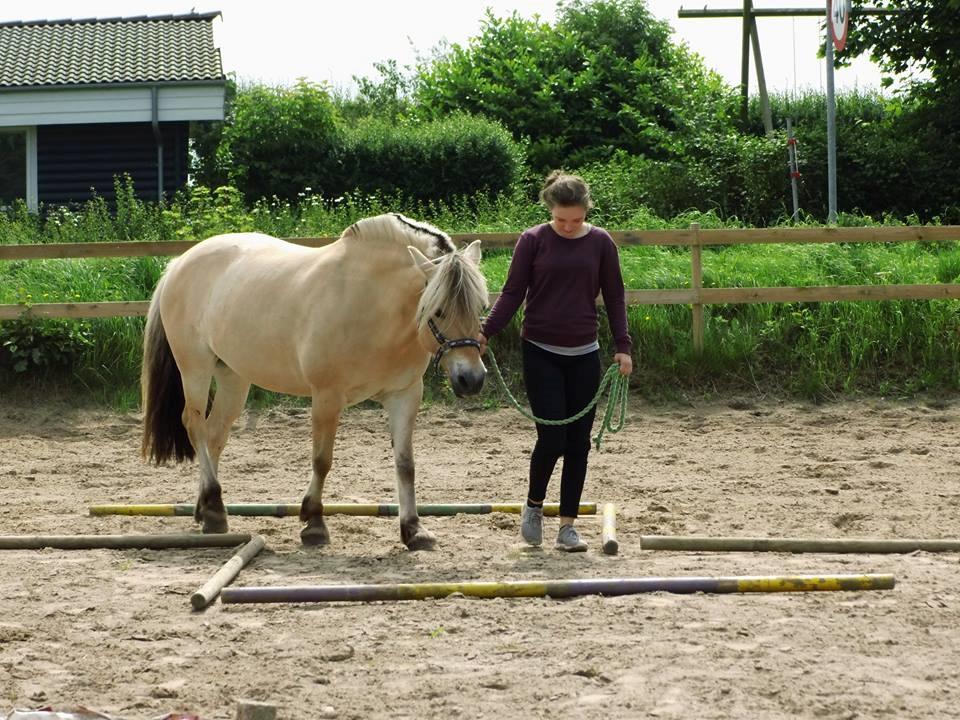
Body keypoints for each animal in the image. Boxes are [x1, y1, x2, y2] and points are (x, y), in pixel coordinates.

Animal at [141, 214, 488, 552]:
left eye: (481, 307)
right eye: (438, 310)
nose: (471, 379)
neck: (372, 303)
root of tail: (180, 262)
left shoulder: (404, 395)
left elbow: (406, 464)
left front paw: (414, 530)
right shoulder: (326, 397)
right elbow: (322, 460)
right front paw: (314, 523)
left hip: (233, 377)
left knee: (215, 434)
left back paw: (208, 509)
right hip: (195, 369)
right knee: (195, 425)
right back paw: (213, 508)